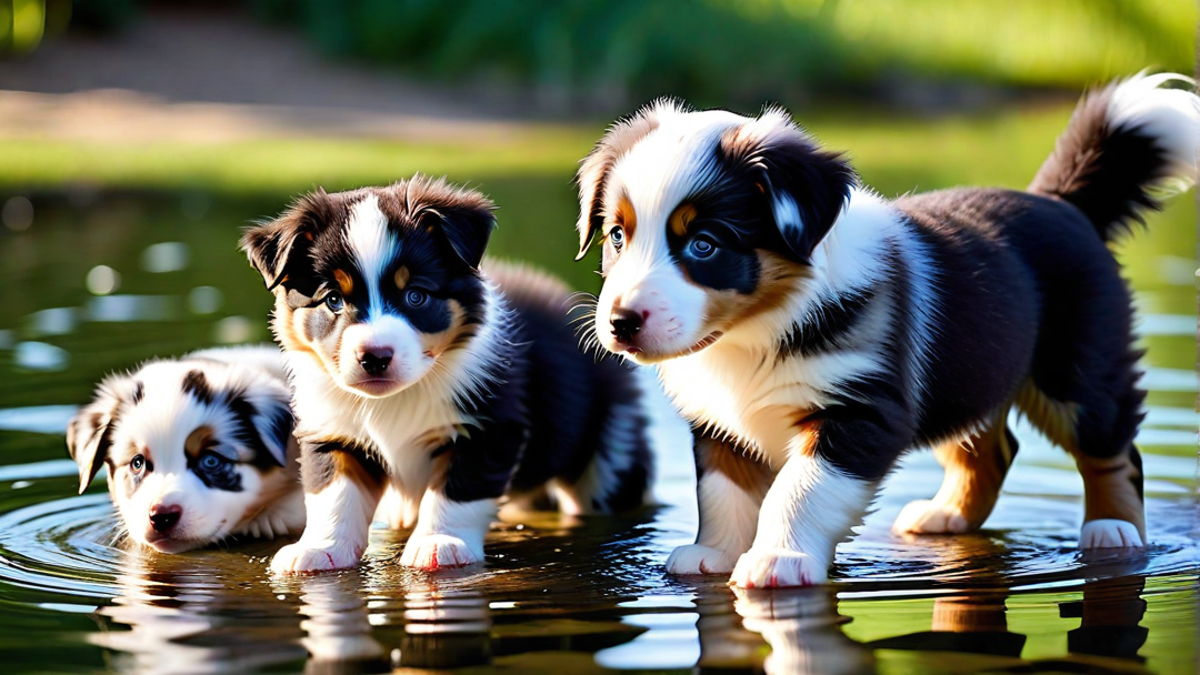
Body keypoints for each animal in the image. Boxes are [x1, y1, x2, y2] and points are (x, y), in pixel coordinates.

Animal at [242, 174, 652, 571]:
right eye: (332, 300)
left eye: (416, 296)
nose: (375, 357)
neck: (396, 398)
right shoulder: (332, 429)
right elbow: (334, 493)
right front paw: (320, 549)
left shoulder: (489, 425)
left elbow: (455, 492)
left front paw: (438, 544)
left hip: (612, 443)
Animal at [573, 69, 1200, 583]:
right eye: (618, 236)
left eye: (704, 244)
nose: (621, 323)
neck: (756, 330)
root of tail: (1063, 203)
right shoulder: (720, 422)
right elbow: (724, 491)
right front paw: (715, 554)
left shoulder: (858, 410)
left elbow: (798, 491)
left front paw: (778, 560)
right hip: (970, 374)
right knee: (991, 448)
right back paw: (944, 515)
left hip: (1078, 364)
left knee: (1112, 448)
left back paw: (1113, 533)